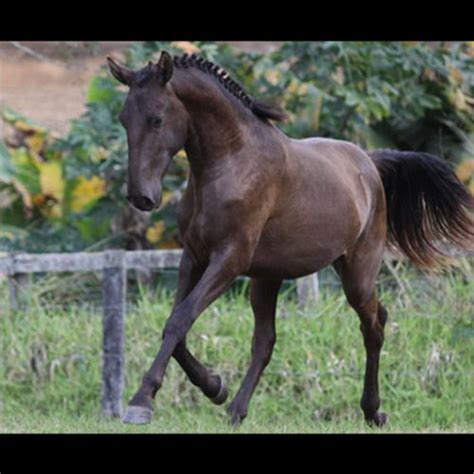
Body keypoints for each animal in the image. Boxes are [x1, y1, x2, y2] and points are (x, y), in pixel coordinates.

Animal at [106, 51, 474, 426]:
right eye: (123, 119)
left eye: (156, 118)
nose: (141, 197)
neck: (232, 162)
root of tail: (369, 163)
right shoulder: (193, 258)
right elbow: (177, 325)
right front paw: (214, 387)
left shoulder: (228, 260)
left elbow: (179, 320)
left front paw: (141, 402)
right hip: (268, 277)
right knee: (265, 341)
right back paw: (236, 410)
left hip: (356, 274)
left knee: (374, 324)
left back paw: (372, 411)